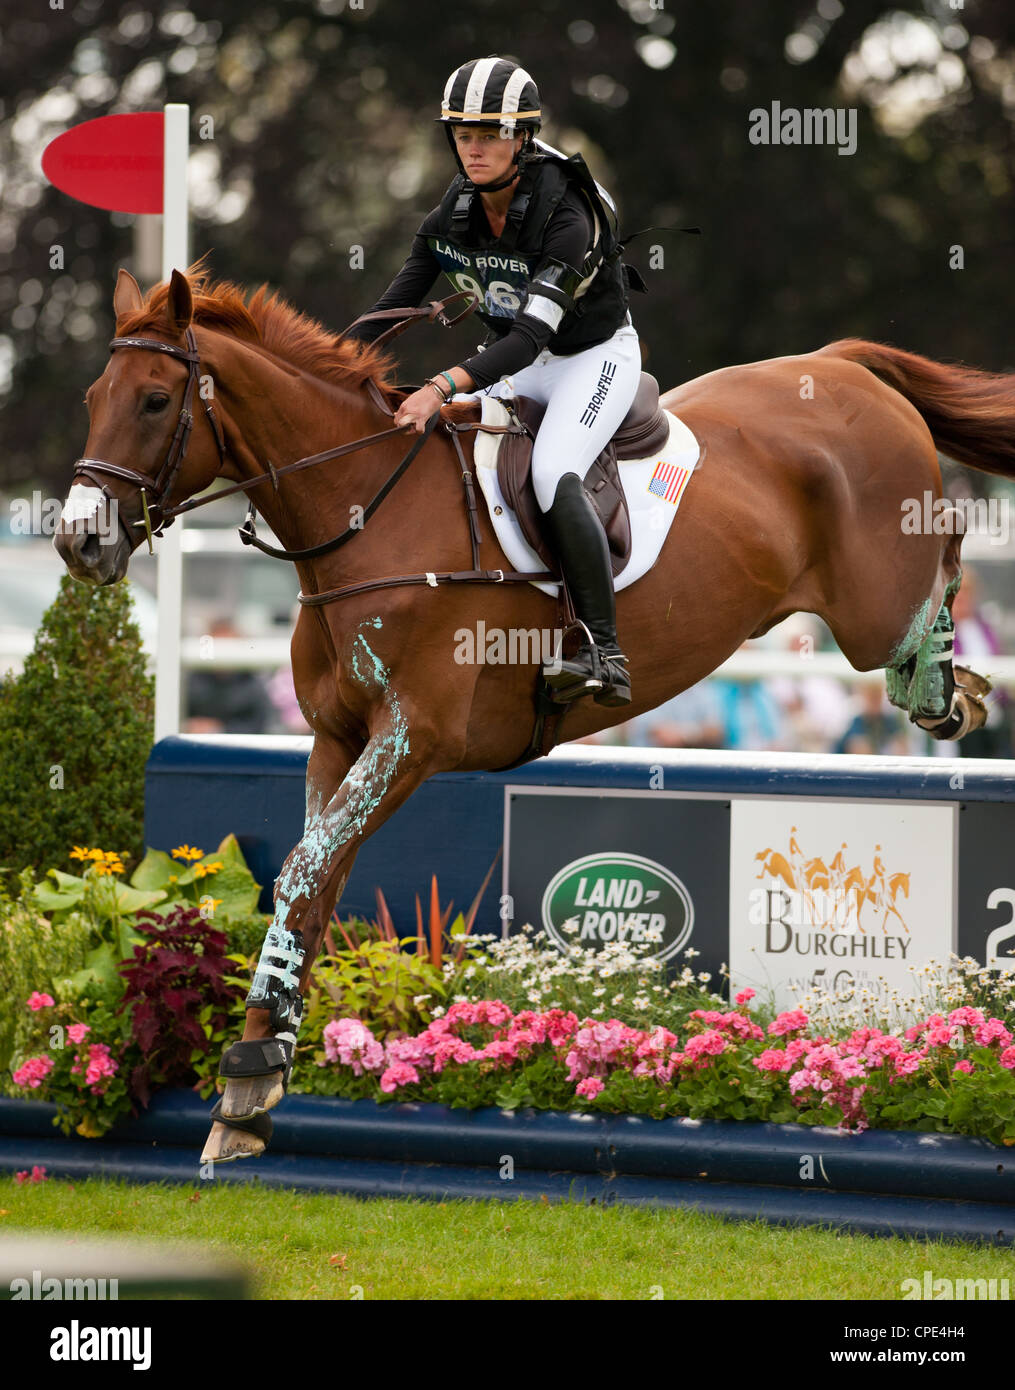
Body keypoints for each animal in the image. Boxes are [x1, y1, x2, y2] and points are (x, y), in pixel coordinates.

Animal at [57, 268, 1012, 1162]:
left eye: (154, 401)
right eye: (93, 400)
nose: (78, 542)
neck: (365, 513)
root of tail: (841, 365)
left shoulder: (412, 740)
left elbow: (299, 873)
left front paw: (251, 1077)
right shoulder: (335, 742)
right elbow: (308, 887)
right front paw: (252, 1089)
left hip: (868, 604)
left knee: (945, 557)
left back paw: (946, 682)